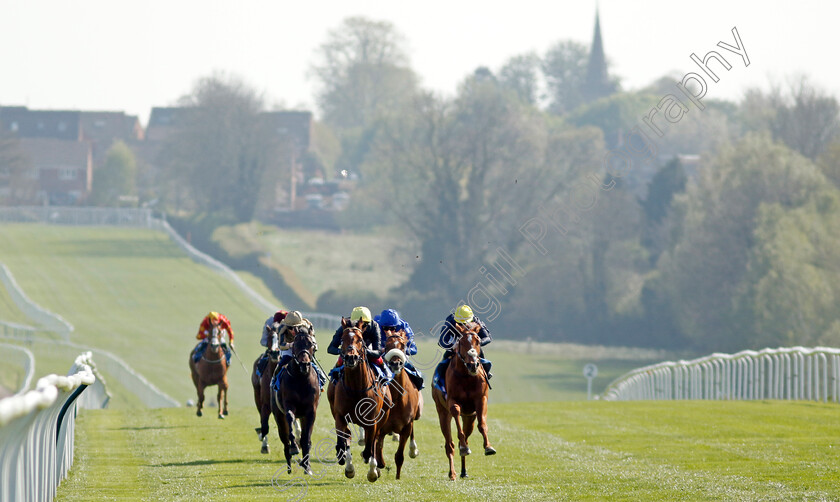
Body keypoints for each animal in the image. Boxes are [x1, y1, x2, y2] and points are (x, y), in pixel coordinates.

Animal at [272, 326, 322, 474]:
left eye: (311, 344)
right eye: (295, 344)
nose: (304, 364)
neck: (301, 379)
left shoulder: (310, 411)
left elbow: (306, 439)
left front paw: (307, 466)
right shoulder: (289, 405)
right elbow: (290, 419)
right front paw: (294, 446)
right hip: (278, 416)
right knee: (284, 440)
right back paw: (289, 465)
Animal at [328, 318, 394, 482]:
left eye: (360, 339)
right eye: (342, 339)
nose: (351, 357)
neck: (356, 387)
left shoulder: (373, 421)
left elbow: (370, 446)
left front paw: (372, 471)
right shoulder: (340, 416)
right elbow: (343, 440)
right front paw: (347, 465)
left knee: (375, 441)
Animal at [376, 328, 424, 480]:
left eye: (402, 346)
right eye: (387, 346)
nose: (395, 363)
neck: (397, 398)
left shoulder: (406, 427)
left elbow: (399, 456)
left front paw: (397, 477)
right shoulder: (381, 426)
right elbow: (377, 447)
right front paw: (378, 467)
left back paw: (413, 450)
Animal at [434, 322, 492, 478]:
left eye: (478, 341)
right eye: (461, 342)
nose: (473, 364)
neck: (466, 375)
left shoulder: (480, 400)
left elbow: (482, 425)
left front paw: (488, 447)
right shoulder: (452, 402)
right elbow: (457, 423)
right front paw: (464, 448)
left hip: (469, 417)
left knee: (466, 437)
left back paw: (463, 471)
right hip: (442, 414)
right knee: (450, 444)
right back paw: (452, 473)